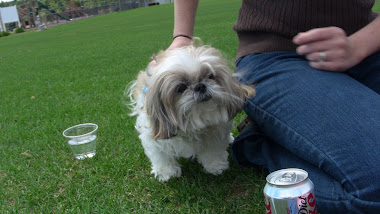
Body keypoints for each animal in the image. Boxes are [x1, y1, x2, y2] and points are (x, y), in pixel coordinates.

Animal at [126, 42, 254, 181]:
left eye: (210, 76)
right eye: (181, 87)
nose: (200, 86)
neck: (193, 123)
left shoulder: (216, 132)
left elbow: (213, 150)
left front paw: (216, 166)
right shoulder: (153, 137)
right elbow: (161, 156)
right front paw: (167, 172)